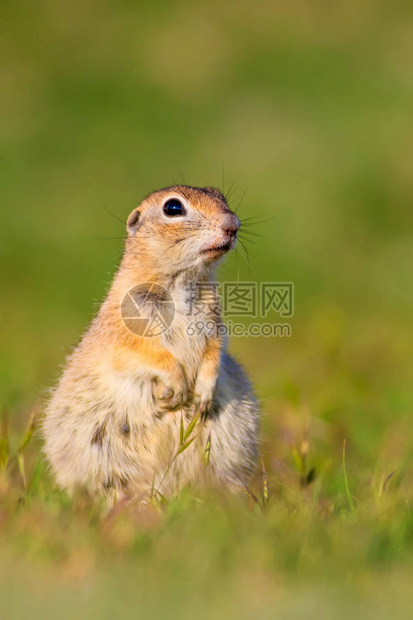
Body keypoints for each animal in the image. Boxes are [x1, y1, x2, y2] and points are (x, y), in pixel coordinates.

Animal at [44, 185, 258, 504]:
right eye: (173, 208)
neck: (183, 281)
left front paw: (203, 395)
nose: (232, 224)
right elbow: (142, 354)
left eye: (221, 197)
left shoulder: (215, 323)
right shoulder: (125, 329)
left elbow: (214, 350)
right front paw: (177, 388)